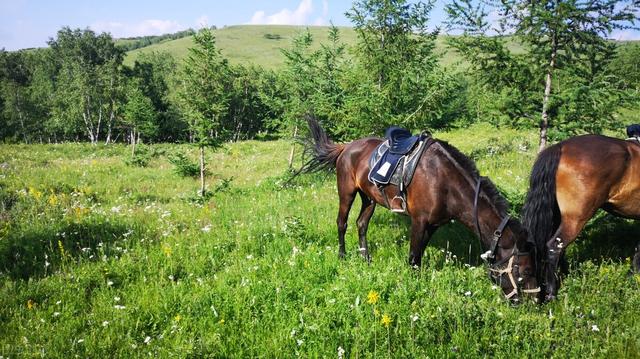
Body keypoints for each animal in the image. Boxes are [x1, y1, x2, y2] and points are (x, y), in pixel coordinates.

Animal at [300, 119, 540, 304]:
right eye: (525, 270)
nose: (536, 301)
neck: (444, 181)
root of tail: (347, 147)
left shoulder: (432, 225)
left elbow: (419, 256)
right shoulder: (419, 221)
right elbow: (413, 258)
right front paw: (412, 289)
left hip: (369, 198)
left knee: (361, 224)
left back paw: (365, 258)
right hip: (347, 193)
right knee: (342, 223)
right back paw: (342, 257)